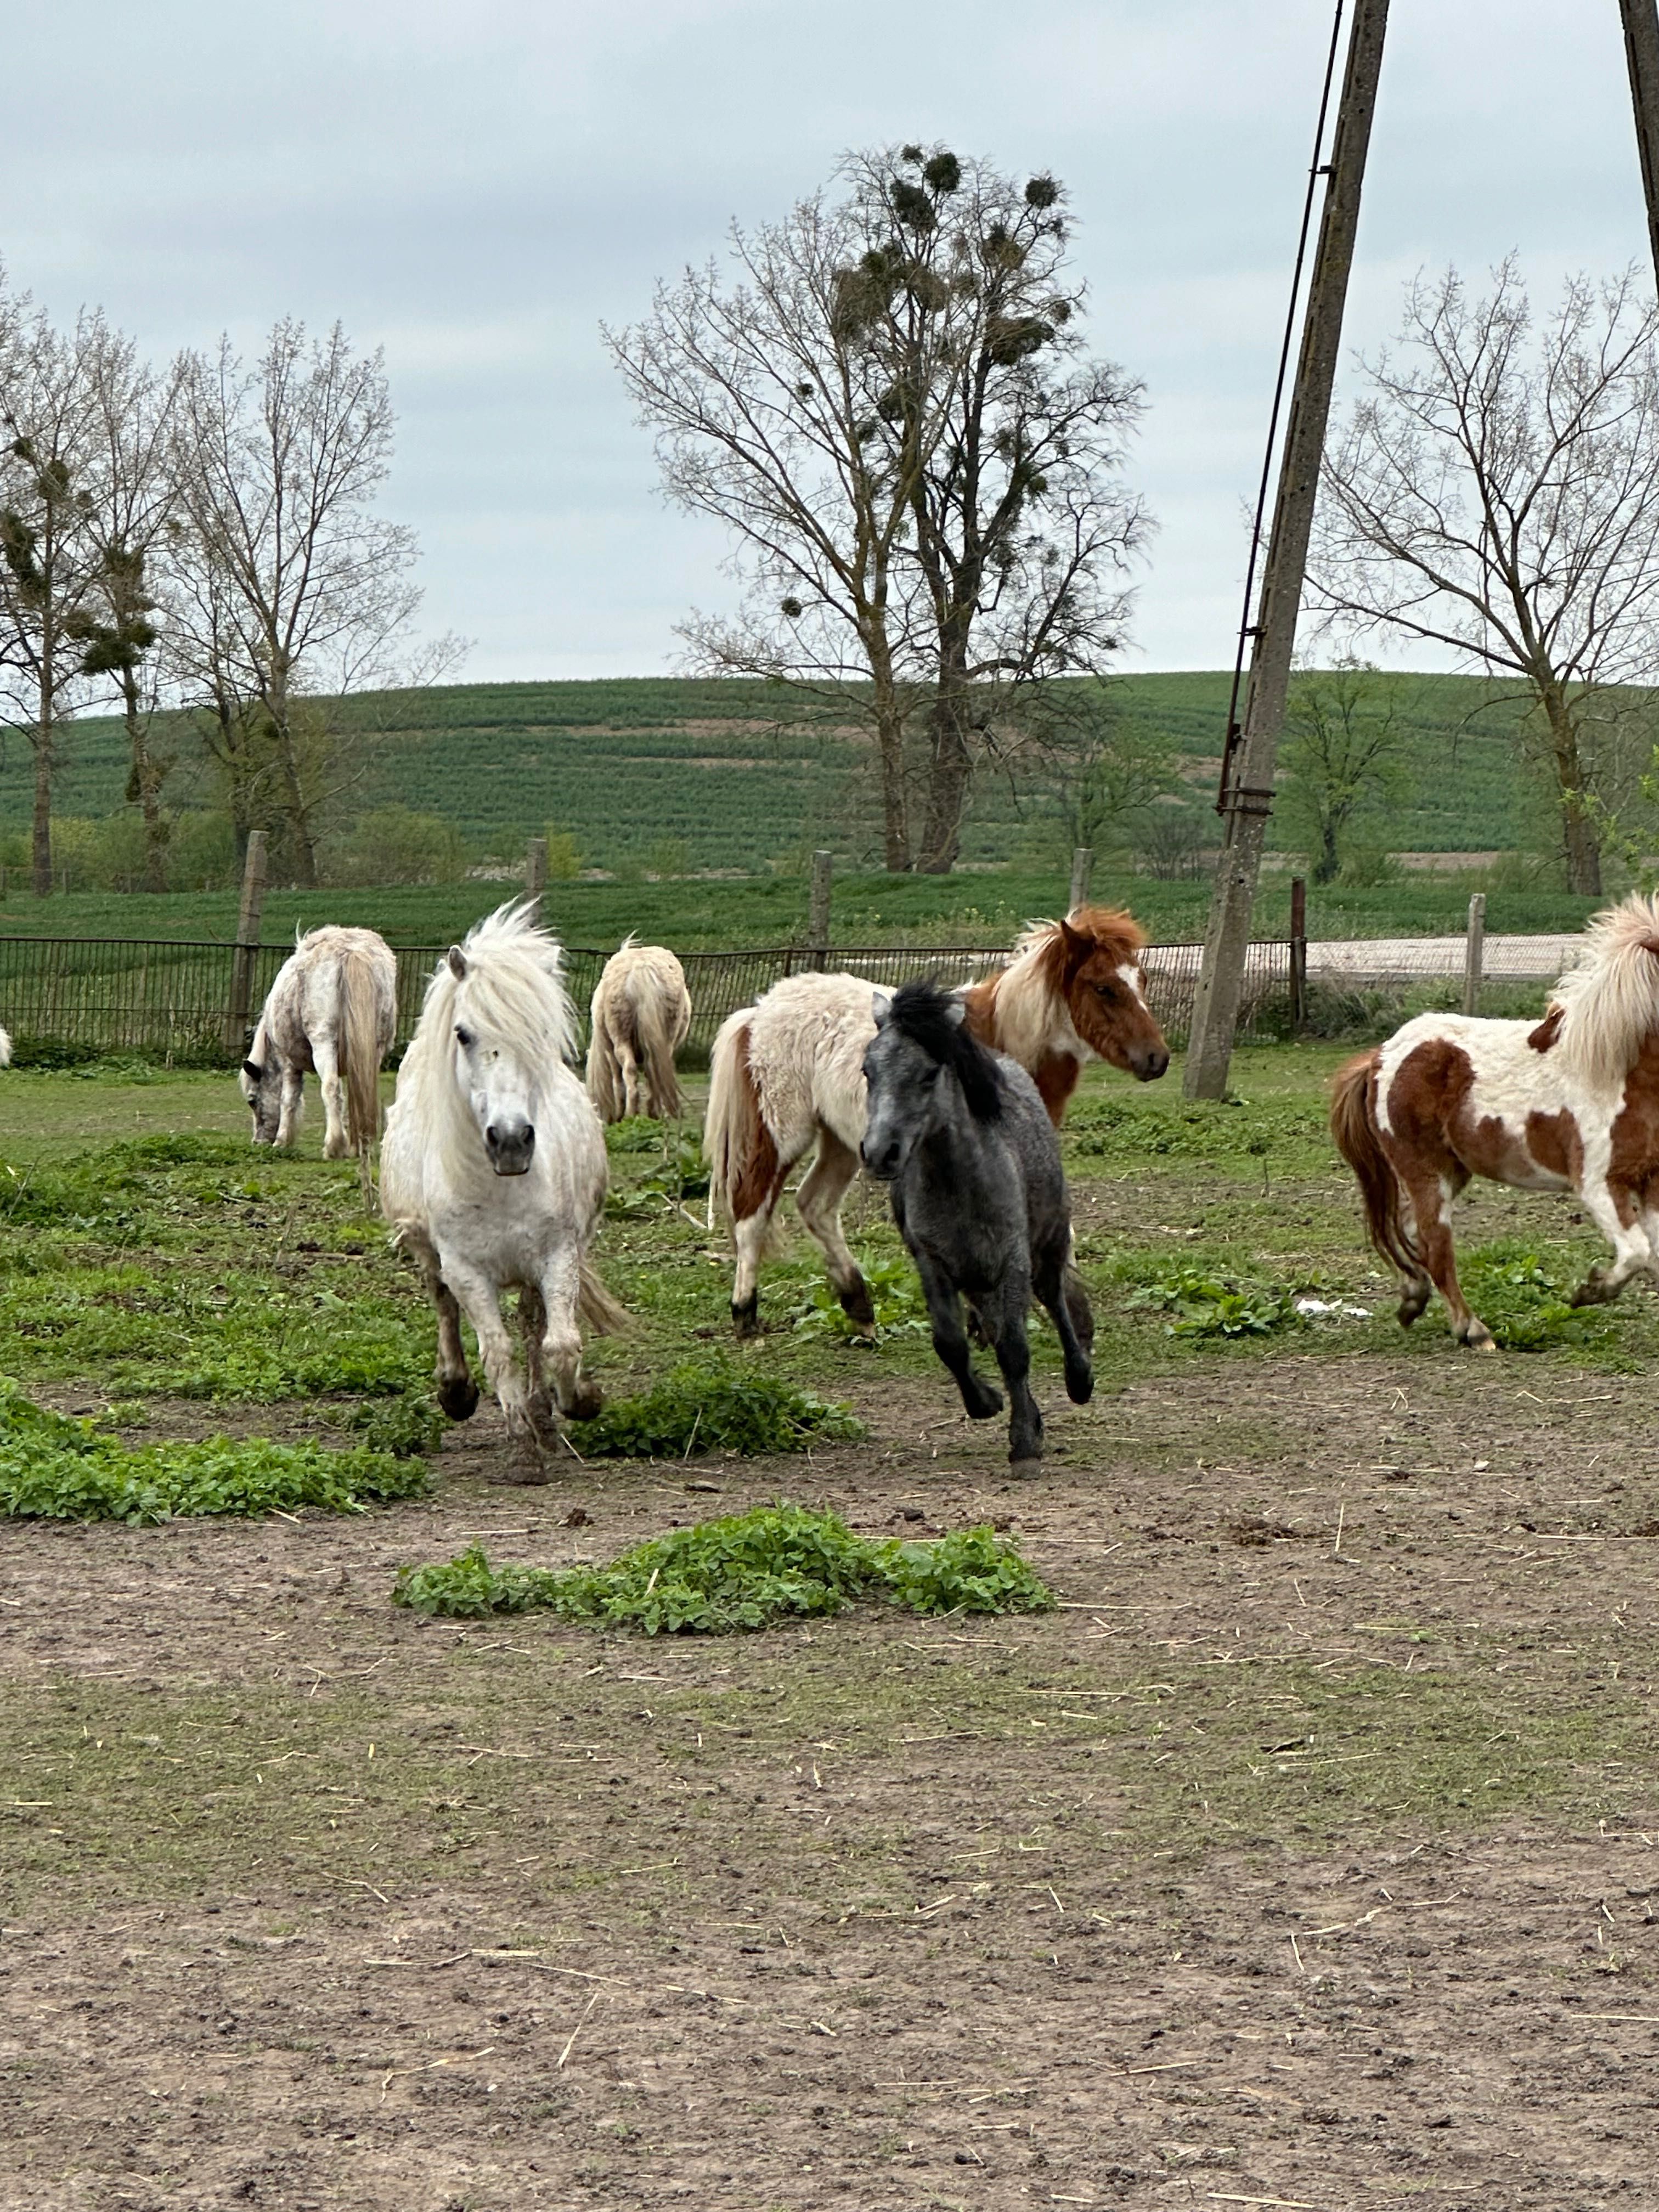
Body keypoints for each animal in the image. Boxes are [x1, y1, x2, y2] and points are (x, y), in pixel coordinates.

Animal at [378, 898, 628, 1486]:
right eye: (464, 1034)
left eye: (542, 1035)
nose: (512, 1140)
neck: (497, 1186)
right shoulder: (467, 1270)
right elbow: (497, 1351)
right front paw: (520, 1451)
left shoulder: (558, 1254)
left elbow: (559, 1345)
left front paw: (578, 1402)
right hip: (431, 1255)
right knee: (443, 1304)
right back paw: (457, 1392)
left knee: (536, 1324)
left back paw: (545, 1417)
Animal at [703, 898, 1167, 1327]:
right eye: (1103, 988)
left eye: (1143, 980)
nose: (1157, 1059)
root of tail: (758, 1011)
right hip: (784, 1131)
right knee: (752, 1209)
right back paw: (745, 1311)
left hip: (845, 1141)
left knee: (815, 1205)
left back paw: (859, 1307)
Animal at [858, 982, 1092, 1469]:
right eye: (868, 1071)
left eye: (929, 1074)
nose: (880, 1153)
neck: (960, 1186)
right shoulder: (933, 1263)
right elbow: (951, 1343)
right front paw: (987, 1403)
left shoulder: (1013, 1260)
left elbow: (1015, 1348)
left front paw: (1024, 1444)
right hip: (976, 1279)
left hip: (1048, 1245)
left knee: (1055, 1301)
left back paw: (1080, 1380)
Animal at [1336, 884, 1659, 1345]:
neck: (1620, 1070)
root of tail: (1380, 1058)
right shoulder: (1599, 1184)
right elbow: (1636, 1253)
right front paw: (1588, 1290)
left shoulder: (1652, 1181)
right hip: (1426, 1172)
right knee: (1436, 1245)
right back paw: (1471, 1329)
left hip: (1451, 1172)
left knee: (1411, 1231)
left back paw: (1413, 1299)